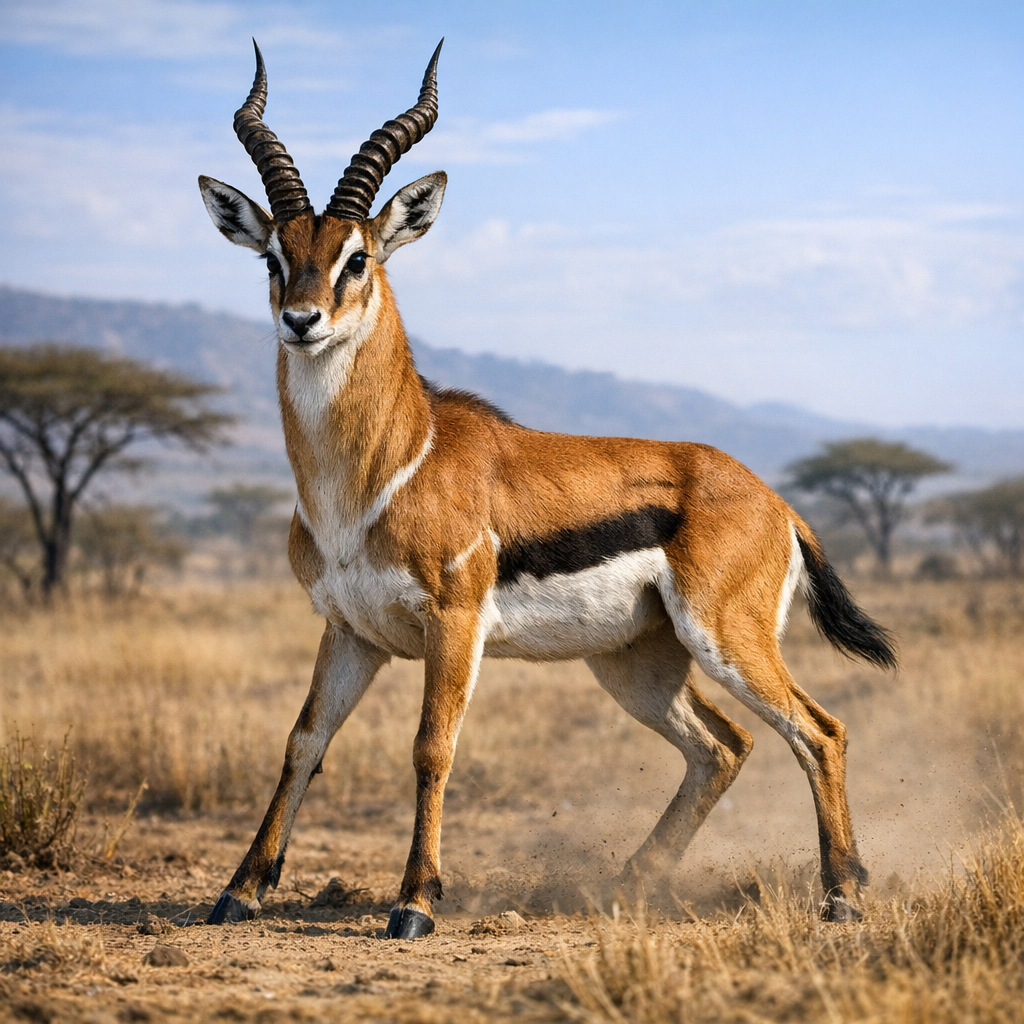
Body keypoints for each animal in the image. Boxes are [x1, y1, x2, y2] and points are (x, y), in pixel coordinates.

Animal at [199, 40, 896, 940]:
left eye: (359, 258)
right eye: (274, 258)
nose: (302, 320)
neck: (383, 471)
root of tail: (775, 502)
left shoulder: (454, 623)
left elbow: (432, 746)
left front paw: (414, 903)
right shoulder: (350, 631)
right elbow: (303, 741)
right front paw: (240, 890)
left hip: (726, 640)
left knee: (820, 731)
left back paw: (843, 894)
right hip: (637, 663)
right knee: (724, 745)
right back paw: (630, 885)